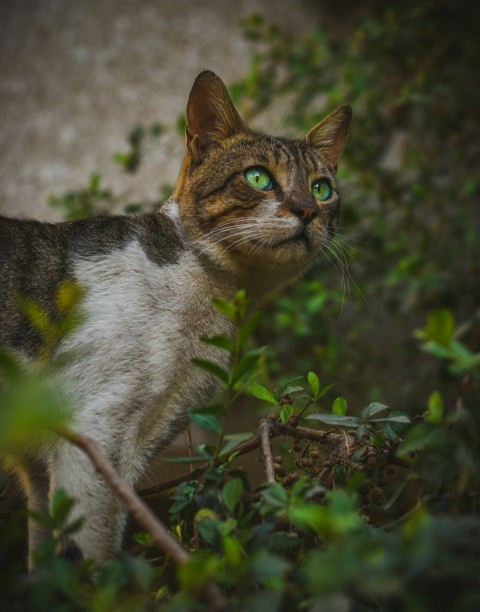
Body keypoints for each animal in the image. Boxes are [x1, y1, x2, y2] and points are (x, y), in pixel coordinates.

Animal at [0, 69, 352, 568]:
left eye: (322, 188)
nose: (306, 210)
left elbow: (49, 559)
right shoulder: (92, 434)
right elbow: (89, 560)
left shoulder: (104, 451)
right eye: (259, 178)